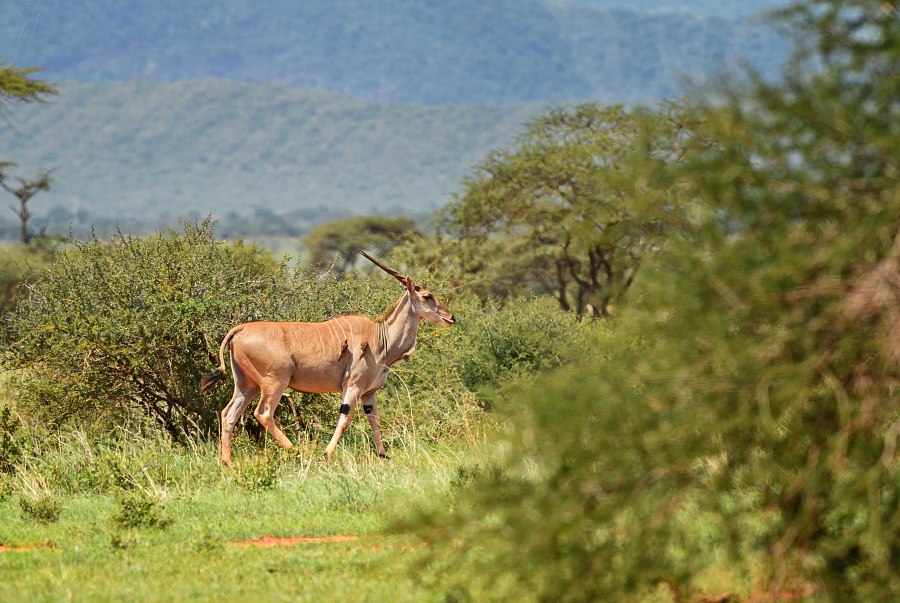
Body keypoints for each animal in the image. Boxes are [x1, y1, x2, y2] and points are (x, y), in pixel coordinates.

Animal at [200, 250, 454, 468]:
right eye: (427, 296)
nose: (451, 317)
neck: (379, 336)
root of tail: (240, 330)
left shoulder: (369, 393)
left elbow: (375, 420)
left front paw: (383, 455)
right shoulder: (352, 387)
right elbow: (344, 419)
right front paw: (326, 455)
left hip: (246, 385)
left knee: (229, 414)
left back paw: (227, 463)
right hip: (275, 383)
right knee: (262, 413)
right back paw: (296, 451)